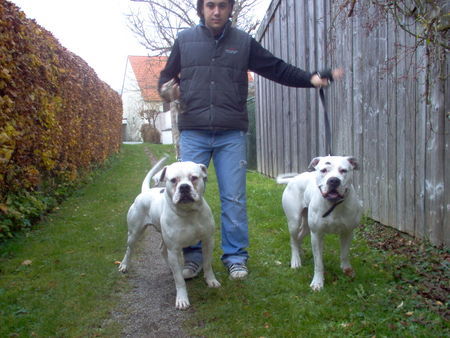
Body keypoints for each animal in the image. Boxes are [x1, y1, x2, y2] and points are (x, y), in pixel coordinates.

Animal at [118, 157, 220, 310]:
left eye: (194, 178)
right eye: (173, 180)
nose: (184, 187)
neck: (188, 212)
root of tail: (146, 191)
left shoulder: (208, 241)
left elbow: (207, 264)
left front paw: (211, 280)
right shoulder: (174, 250)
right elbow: (179, 280)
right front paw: (182, 299)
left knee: (161, 249)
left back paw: (169, 267)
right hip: (134, 233)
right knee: (129, 249)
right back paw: (124, 265)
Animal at [276, 156, 364, 290]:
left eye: (344, 170)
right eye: (323, 170)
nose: (334, 180)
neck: (333, 204)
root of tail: (294, 178)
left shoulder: (348, 232)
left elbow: (344, 254)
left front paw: (347, 270)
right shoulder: (316, 235)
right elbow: (318, 263)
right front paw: (317, 282)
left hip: (307, 226)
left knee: (299, 237)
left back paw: (301, 252)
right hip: (294, 222)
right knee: (293, 240)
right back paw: (296, 260)